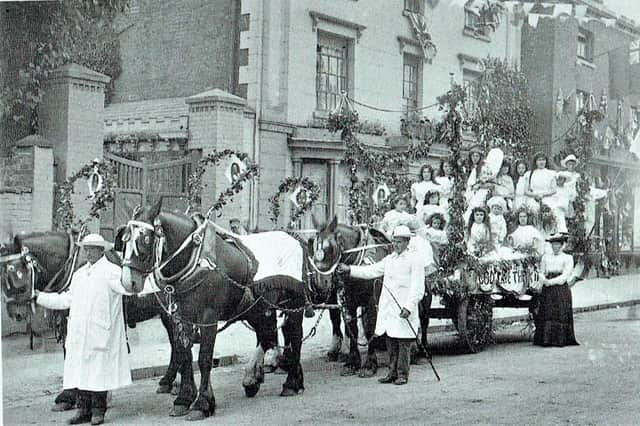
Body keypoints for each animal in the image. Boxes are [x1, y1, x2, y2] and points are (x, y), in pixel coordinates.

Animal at [120, 199, 312, 420]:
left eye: (145, 238)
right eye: (124, 239)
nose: (128, 282)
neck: (195, 260)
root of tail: (295, 239)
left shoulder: (208, 317)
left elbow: (204, 358)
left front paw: (202, 403)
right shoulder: (180, 316)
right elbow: (184, 355)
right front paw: (183, 399)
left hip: (293, 304)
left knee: (294, 336)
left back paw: (291, 383)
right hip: (260, 307)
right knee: (270, 335)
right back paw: (260, 379)